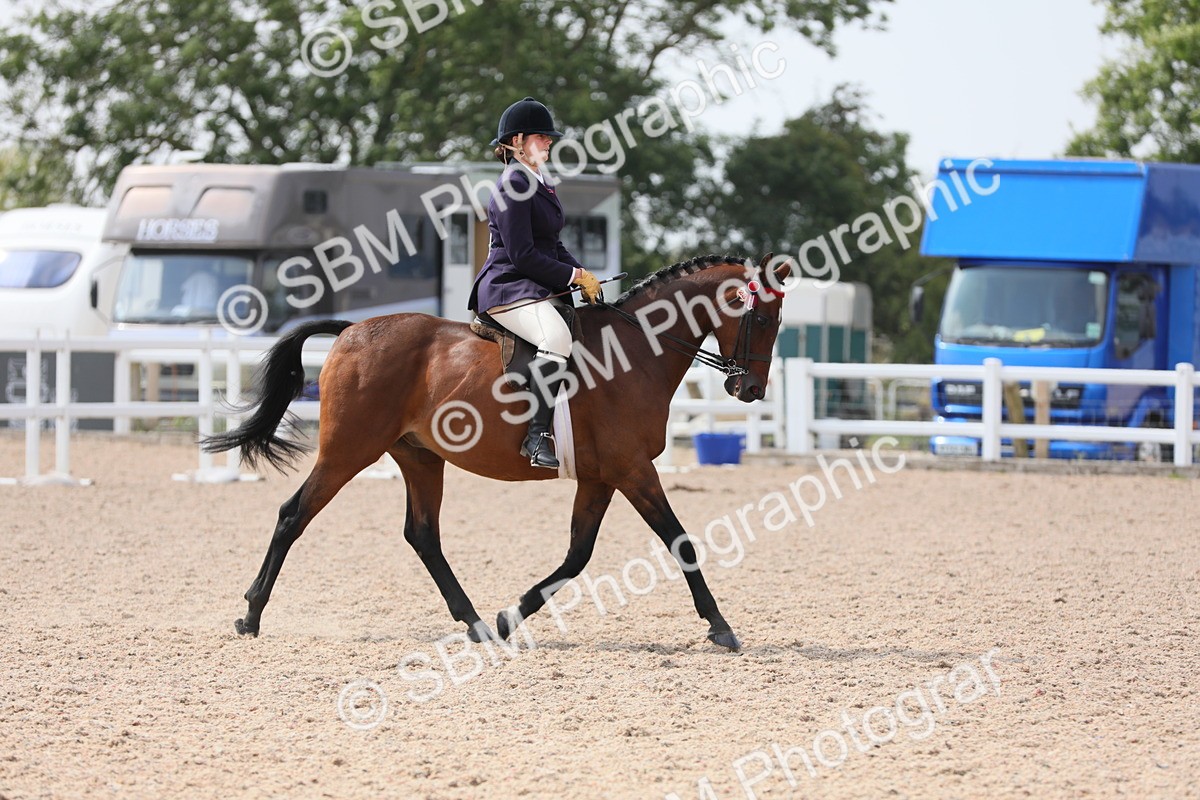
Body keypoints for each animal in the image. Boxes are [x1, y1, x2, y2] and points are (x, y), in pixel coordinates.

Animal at [202, 253, 792, 651]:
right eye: (763, 319)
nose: (750, 391)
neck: (637, 353)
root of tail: (351, 331)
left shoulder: (602, 477)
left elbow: (577, 557)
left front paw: (511, 617)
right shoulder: (633, 470)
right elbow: (679, 540)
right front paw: (721, 628)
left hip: (419, 458)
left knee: (422, 535)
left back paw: (478, 624)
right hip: (349, 451)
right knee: (293, 514)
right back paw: (251, 616)